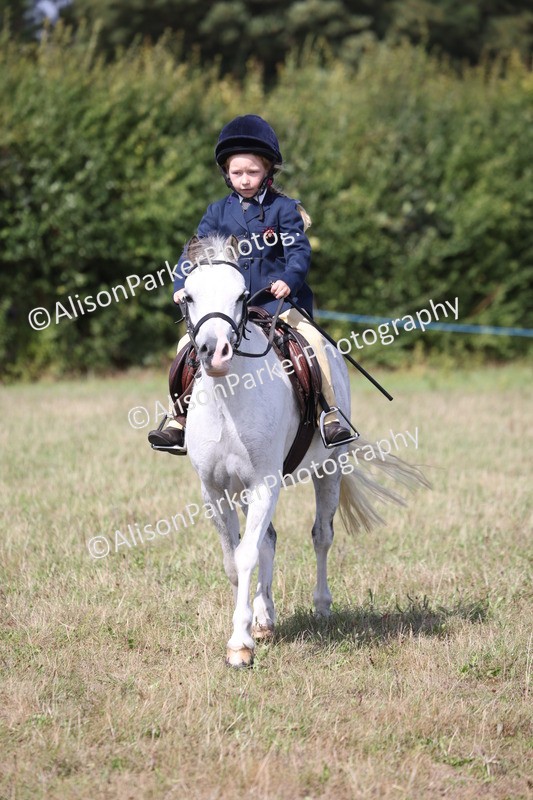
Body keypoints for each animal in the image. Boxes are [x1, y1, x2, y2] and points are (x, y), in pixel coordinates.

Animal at [179, 233, 428, 667]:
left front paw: (240, 645)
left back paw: (322, 606)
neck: (229, 398)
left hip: (329, 470)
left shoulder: (264, 483)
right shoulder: (215, 490)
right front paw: (251, 626)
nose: (215, 352)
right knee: (269, 540)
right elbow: (234, 559)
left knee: (321, 536)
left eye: (241, 295)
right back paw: (265, 617)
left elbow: (246, 554)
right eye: (190, 296)